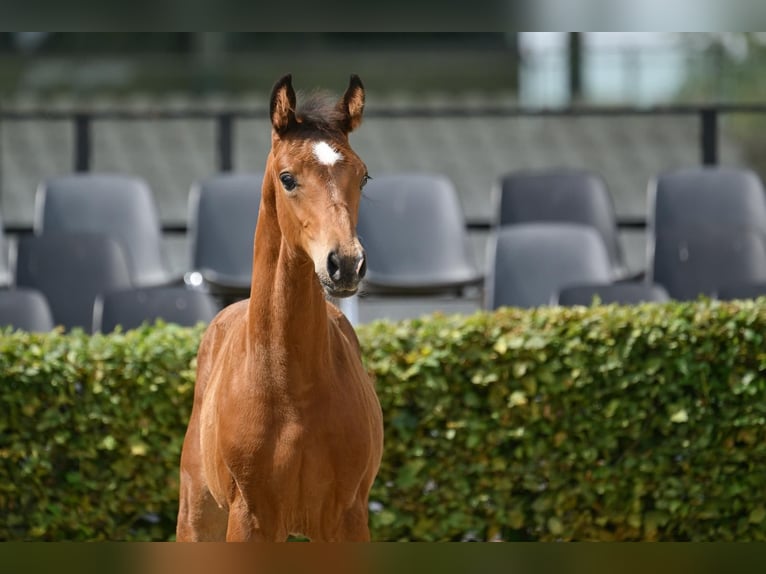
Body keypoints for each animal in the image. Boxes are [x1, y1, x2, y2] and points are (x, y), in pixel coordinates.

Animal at [176, 74, 384, 542]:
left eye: (363, 177)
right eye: (287, 178)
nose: (346, 263)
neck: (292, 388)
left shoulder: (347, 516)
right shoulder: (250, 516)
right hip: (198, 514)